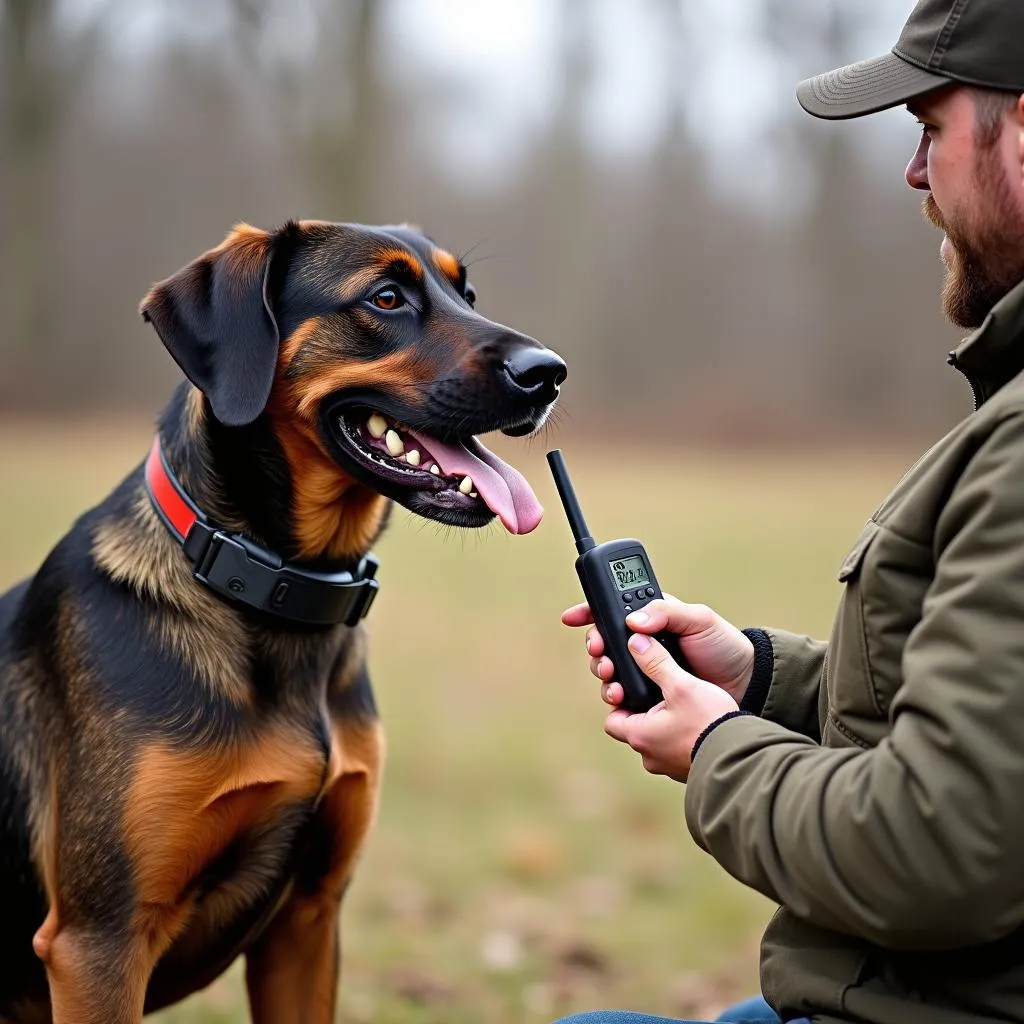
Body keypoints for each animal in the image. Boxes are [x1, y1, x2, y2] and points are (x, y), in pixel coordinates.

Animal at [0, 222, 565, 1024]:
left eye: (468, 293)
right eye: (385, 298)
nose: (550, 374)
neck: (279, 593)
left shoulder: (309, 916)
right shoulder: (98, 941)